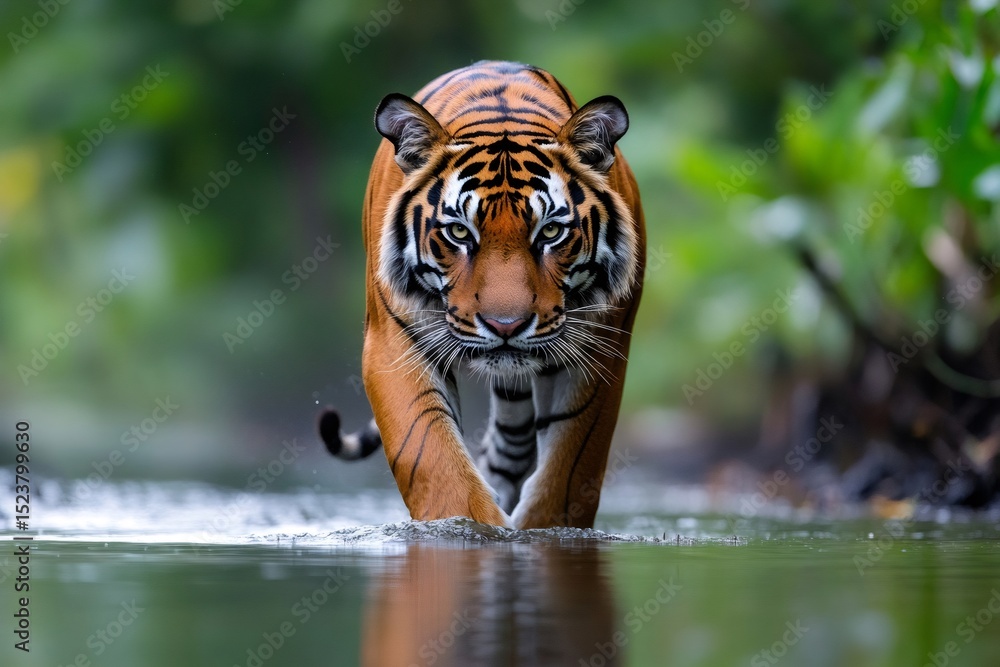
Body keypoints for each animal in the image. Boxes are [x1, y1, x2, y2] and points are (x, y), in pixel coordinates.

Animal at [319, 60, 646, 529]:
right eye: (459, 232)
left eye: (551, 231)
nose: (505, 325)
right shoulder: (392, 343)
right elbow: (430, 453)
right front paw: (470, 526)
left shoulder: (601, 353)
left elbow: (570, 470)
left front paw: (536, 529)